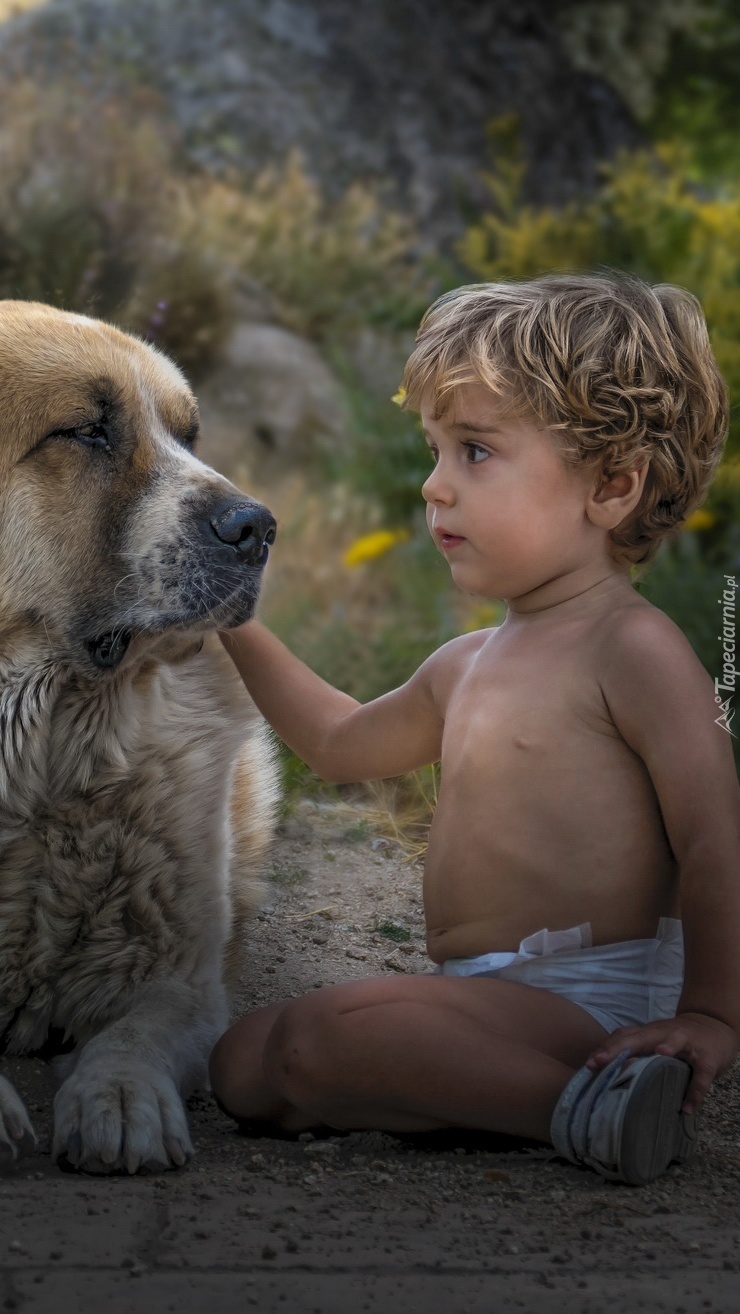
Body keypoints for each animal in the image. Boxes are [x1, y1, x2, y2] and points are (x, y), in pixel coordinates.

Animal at [0, 300, 278, 1172]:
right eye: (86, 431)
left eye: (189, 435)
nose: (256, 527)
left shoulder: (179, 981)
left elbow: (134, 1035)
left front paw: (121, 1097)